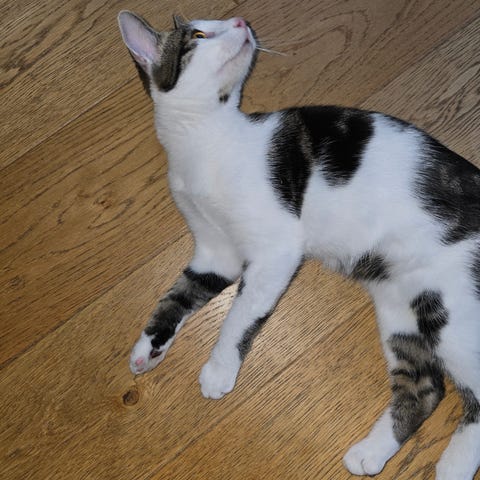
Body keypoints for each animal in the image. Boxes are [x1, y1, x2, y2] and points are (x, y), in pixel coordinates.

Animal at [117, 11, 480, 479]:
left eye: (212, 25)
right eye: (197, 33)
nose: (240, 19)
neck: (205, 138)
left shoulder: (276, 248)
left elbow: (239, 315)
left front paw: (218, 368)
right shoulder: (216, 253)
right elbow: (176, 297)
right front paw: (148, 348)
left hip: (449, 314)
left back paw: (453, 466)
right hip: (402, 312)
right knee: (425, 388)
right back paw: (373, 452)